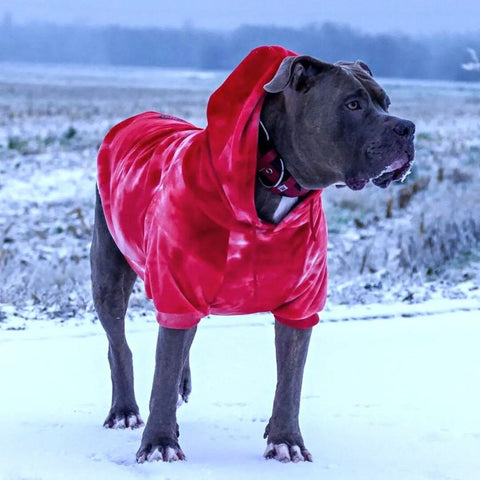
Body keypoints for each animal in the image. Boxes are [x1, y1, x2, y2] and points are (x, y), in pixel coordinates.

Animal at [91, 47, 416, 464]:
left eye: (386, 103)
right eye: (353, 104)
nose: (407, 128)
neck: (274, 175)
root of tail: (137, 118)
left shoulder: (300, 305)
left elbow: (290, 381)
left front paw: (286, 440)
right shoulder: (178, 288)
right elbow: (162, 370)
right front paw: (160, 444)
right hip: (109, 273)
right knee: (120, 345)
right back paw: (125, 411)